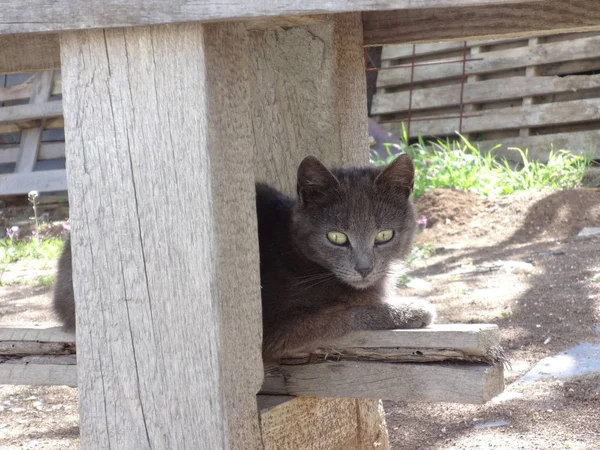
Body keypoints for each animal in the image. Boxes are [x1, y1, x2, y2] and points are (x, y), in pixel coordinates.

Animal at [52, 156, 436, 360]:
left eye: (384, 236)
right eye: (337, 238)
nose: (364, 268)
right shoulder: (273, 329)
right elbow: (345, 313)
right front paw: (412, 310)